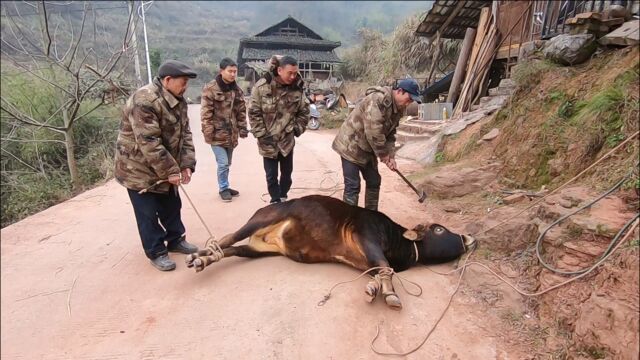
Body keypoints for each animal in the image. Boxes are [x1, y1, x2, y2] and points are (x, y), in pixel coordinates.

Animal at [185, 195, 476, 308]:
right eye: (439, 229)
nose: (468, 238)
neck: (400, 243)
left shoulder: (368, 259)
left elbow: (380, 270)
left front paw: (375, 287)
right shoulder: (366, 235)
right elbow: (386, 268)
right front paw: (389, 294)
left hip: (260, 249)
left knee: (235, 249)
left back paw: (206, 260)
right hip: (261, 219)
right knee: (228, 237)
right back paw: (200, 257)